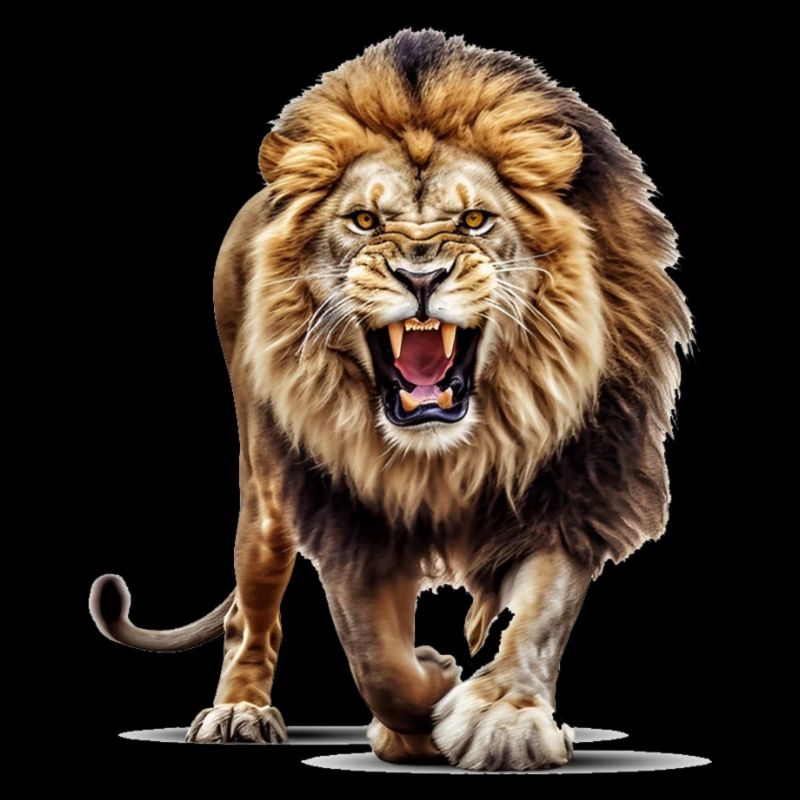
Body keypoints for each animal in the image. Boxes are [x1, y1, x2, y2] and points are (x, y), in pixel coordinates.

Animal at [89, 29, 692, 770]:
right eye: (365, 220)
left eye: (475, 219)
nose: (421, 274)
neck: (449, 449)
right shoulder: (347, 506)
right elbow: (374, 656)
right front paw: (425, 701)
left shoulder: (574, 483)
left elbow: (541, 615)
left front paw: (504, 718)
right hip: (264, 489)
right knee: (249, 608)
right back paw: (240, 710)